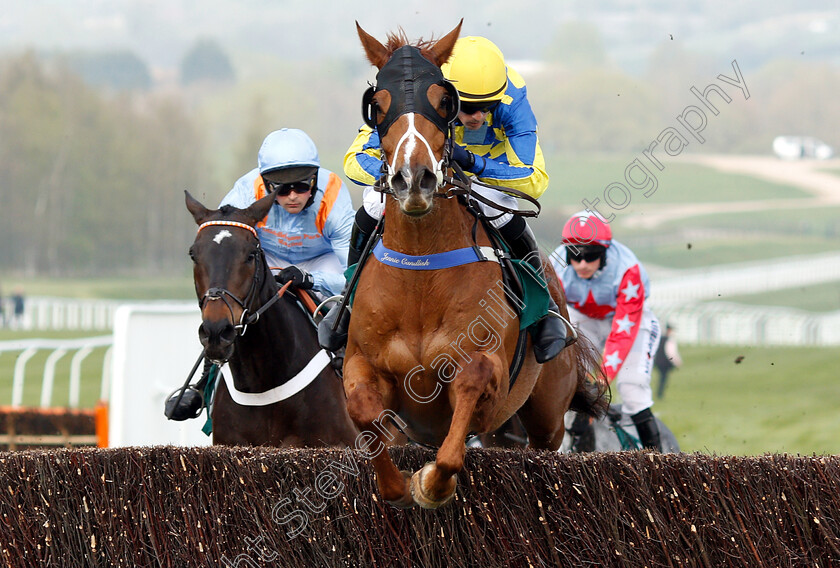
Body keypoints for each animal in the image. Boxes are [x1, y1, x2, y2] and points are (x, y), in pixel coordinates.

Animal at [344, 22, 608, 510]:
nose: (414, 179)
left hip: (545, 413)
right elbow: (363, 410)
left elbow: (466, 397)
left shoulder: (488, 373)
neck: (420, 275)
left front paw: (430, 483)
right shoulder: (362, 363)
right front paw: (398, 487)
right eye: (379, 105)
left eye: (442, 101)